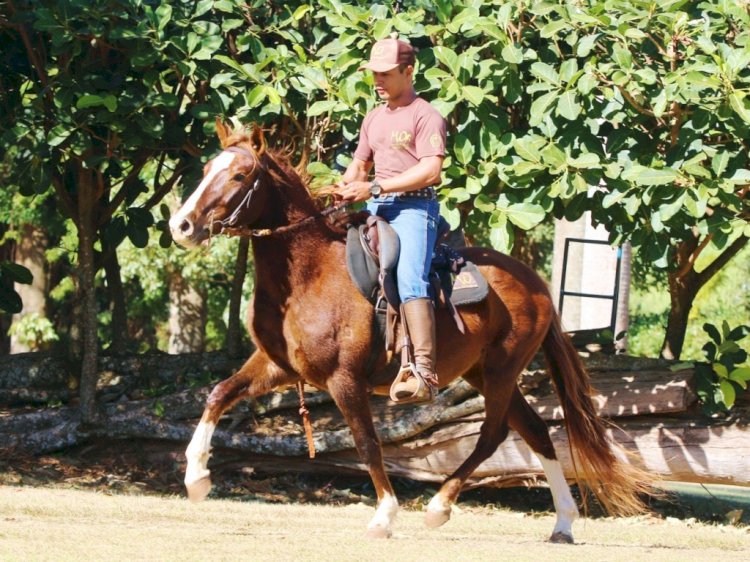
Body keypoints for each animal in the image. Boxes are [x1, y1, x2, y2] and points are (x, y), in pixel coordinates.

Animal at [170, 120, 652, 540]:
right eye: (206, 170)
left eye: (240, 174)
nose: (181, 225)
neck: (309, 274)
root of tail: (536, 284)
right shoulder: (279, 367)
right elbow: (218, 394)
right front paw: (196, 477)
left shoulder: (344, 380)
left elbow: (367, 443)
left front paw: (384, 516)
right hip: (483, 372)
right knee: (534, 430)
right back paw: (563, 525)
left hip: (501, 371)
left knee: (493, 434)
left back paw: (440, 506)